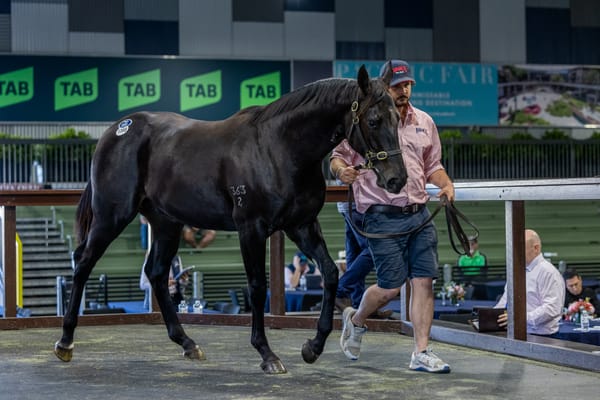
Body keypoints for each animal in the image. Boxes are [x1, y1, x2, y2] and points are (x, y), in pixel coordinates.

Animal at [54, 64, 408, 374]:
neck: (279, 148)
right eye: (373, 120)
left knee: (155, 273)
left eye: (397, 117)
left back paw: (187, 343)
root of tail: (117, 129)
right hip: (111, 215)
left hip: (166, 222)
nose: (397, 179)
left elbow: (332, 274)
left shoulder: (301, 226)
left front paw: (313, 347)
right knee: (83, 262)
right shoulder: (251, 228)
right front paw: (267, 354)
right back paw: (65, 342)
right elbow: (257, 287)